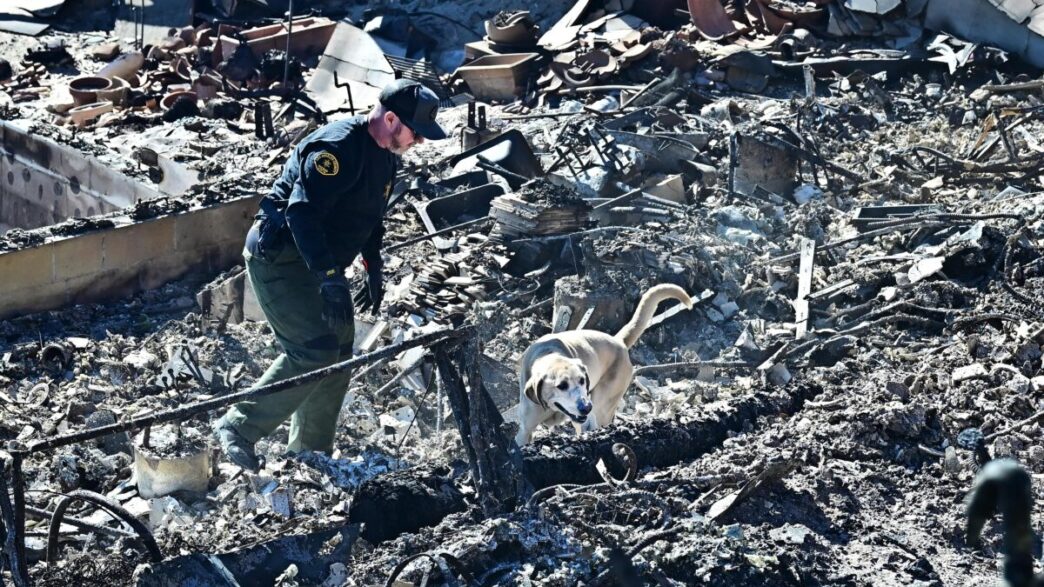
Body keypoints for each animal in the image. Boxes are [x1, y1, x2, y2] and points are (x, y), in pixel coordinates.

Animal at [513, 284, 693, 442]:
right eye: (561, 385)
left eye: (582, 380)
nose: (586, 407)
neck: (548, 354)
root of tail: (618, 340)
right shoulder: (524, 431)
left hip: (602, 406)